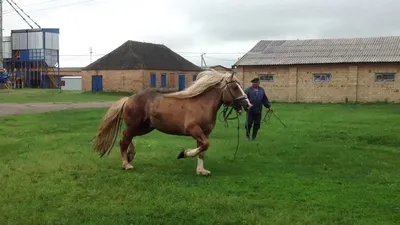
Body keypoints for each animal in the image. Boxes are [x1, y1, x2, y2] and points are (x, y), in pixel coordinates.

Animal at [92, 70, 252, 176]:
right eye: (234, 87)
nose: (248, 105)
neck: (202, 104)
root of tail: (128, 99)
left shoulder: (204, 133)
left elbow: (202, 150)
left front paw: (201, 170)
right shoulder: (194, 130)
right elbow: (204, 146)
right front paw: (184, 153)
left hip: (145, 127)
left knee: (126, 138)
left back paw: (131, 155)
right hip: (134, 125)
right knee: (124, 140)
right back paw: (126, 164)